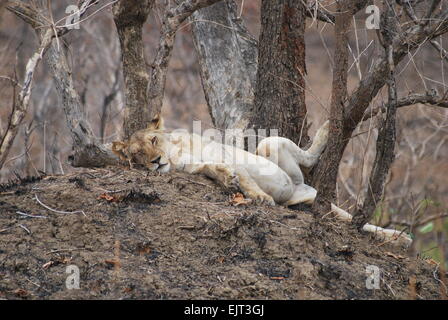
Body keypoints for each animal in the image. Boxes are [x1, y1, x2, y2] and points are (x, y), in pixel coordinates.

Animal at [113, 116, 412, 246]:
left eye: (154, 140)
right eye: (137, 155)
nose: (155, 161)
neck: (176, 154)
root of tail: (304, 190)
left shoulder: (224, 154)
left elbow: (244, 176)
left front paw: (260, 197)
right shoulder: (197, 167)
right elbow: (214, 169)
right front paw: (228, 180)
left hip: (269, 146)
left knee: (309, 158)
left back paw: (328, 129)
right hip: (302, 196)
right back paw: (397, 237)